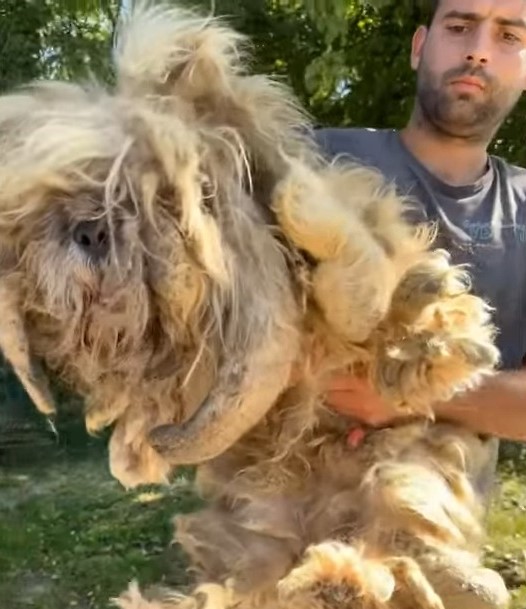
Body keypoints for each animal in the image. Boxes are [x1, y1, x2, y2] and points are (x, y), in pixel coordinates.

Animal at [0, 1, 512, 608]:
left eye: (169, 198)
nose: (85, 230)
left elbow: (373, 297)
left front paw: (307, 209)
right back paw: (333, 582)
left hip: (398, 477)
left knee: (413, 546)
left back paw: (365, 580)